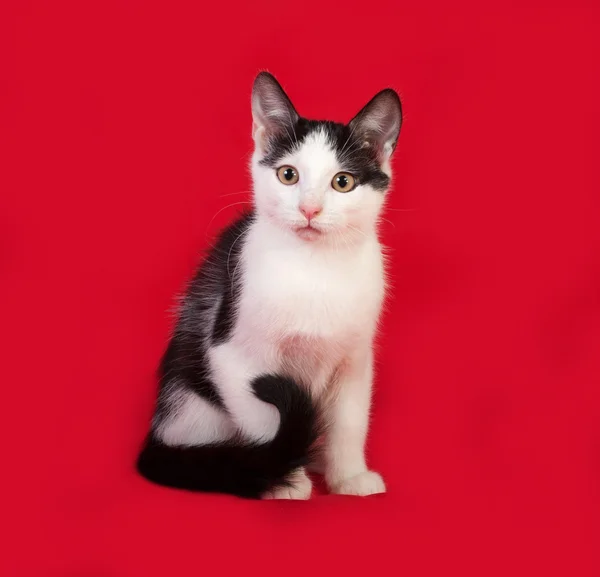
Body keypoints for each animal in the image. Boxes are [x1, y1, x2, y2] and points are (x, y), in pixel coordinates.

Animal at [138, 72, 404, 498]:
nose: (309, 209)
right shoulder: (233, 357)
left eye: (343, 182)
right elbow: (266, 421)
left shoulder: (355, 358)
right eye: (288, 175)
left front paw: (349, 476)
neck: (314, 267)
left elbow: (349, 421)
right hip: (192, 404)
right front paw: (285, 481)